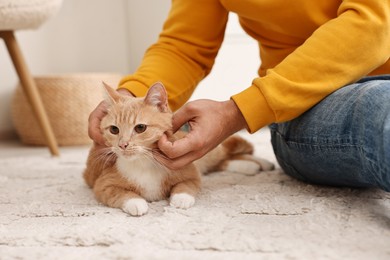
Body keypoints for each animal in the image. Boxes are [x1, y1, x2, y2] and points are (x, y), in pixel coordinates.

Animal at [84, 83, 274, 215]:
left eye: (140, 128)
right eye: (114, 130)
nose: (122, 145)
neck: (143, 161)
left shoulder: (191, 173)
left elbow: (186, 185)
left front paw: (181, 198)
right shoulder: (102, 185)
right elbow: (120, 194)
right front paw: (135, 202)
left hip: (209, 153)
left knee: (225, 153)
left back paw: (262, 163)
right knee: (224, 161)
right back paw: (252, 166)